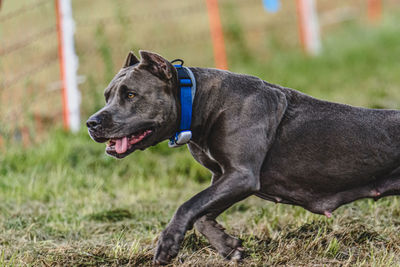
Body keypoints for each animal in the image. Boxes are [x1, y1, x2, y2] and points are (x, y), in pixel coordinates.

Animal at [86, 50, 400, 266]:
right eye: (107, 95)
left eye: (130, 94)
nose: (91, 122)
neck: (198, 101)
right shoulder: (224, 177)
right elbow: (201, 214)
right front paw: (229, 247)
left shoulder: (241, 175)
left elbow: (187, 206)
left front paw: (167, 245)